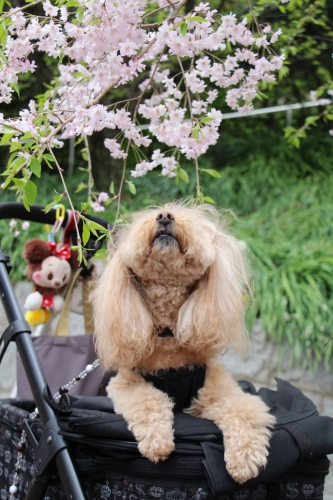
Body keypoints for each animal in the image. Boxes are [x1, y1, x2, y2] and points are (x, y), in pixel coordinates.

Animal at [92, 202, 274, 484]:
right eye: (148, 215)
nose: (165, 216)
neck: (168, 334)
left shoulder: (221, 391)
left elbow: (243, 410)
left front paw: (244, 460)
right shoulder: (124, 384)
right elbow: (148, 400)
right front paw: (158, 443)